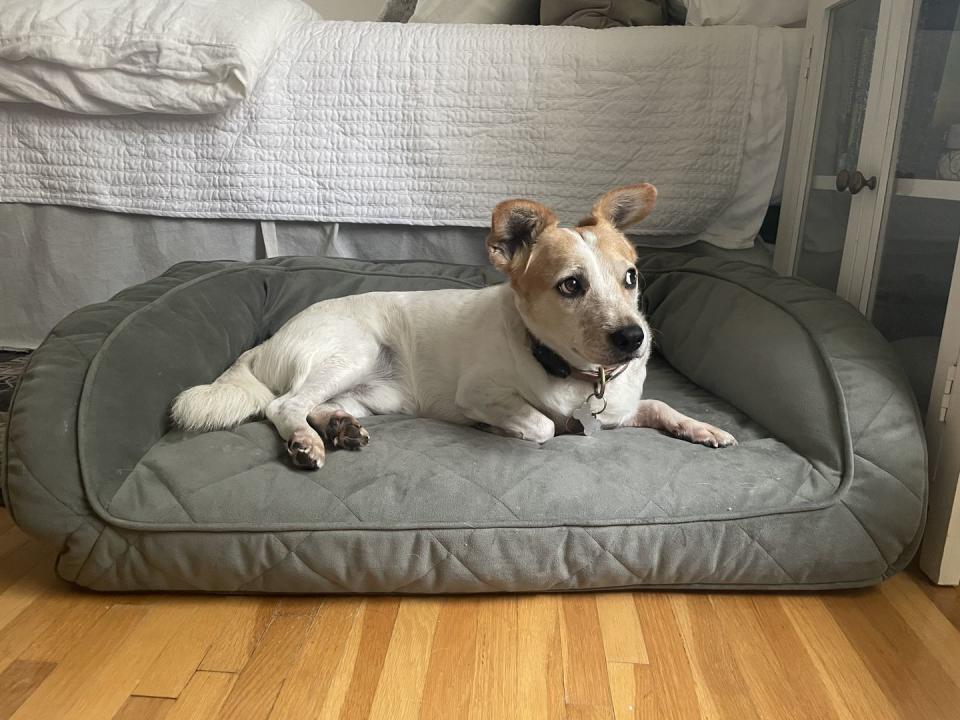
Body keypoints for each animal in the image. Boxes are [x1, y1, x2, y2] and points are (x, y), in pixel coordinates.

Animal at [172, 183, 736, 470]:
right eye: (572, 285)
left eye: (631, 277)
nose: (634, 339)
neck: (573, 375)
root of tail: (263, 346)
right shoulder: (480, 393)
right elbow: (542, 425)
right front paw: (513, 427)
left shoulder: (620, 409)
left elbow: (658, 404)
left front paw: (701, 427)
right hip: (354, 350)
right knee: (283, 405)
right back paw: (307, 443)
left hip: (370, 393)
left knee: (316, 404)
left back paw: (337, 427)